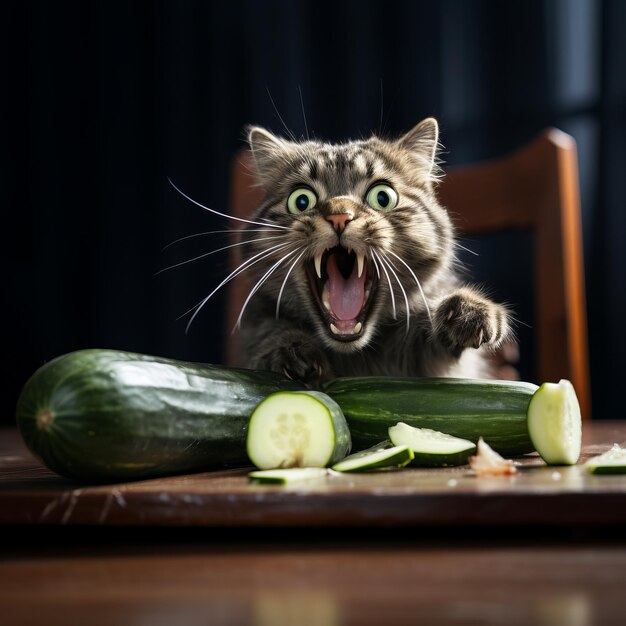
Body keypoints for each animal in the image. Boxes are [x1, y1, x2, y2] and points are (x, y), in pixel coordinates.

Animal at [232, 117, 510, 386]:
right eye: (301, 200)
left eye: (382, 197)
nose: (339, 216)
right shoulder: (258, 321)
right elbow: (270, 332)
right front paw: (290, 349)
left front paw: (469, 311)